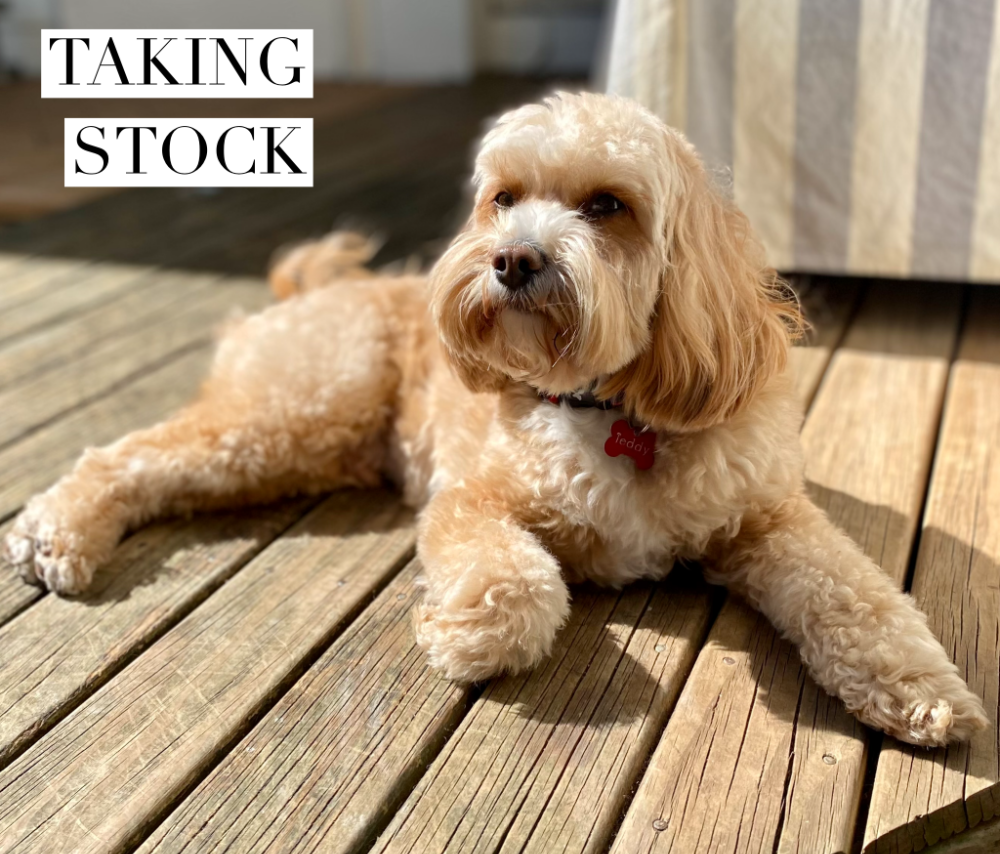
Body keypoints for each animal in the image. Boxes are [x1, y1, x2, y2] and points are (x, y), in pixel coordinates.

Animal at [0, 92, 984, 748]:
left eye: (608, 205)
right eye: (504, 197)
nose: (512, 258)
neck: (603, 405)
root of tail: (311, 290)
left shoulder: (769, 517)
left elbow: (857, 594)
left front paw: (920, 684)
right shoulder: (469, 502)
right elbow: (521, 584)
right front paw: (464, 633)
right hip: (295, 410)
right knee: (126, 454)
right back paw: (59, 530)